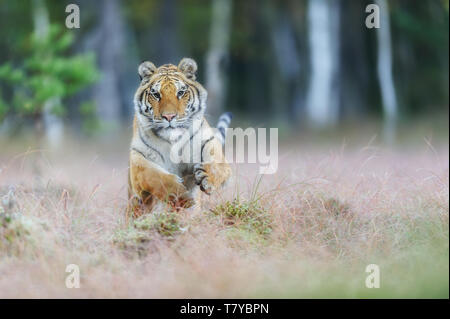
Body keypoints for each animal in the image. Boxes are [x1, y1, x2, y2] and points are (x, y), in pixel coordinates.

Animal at [126, 58, 232, 218]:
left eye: (181, 92)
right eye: (156, 94)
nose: (169, 116)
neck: (172, 141)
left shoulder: (209, 143)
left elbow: (216, 164)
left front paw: (207, 178)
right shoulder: (138, 162)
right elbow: (156, 177)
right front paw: (182, 197)